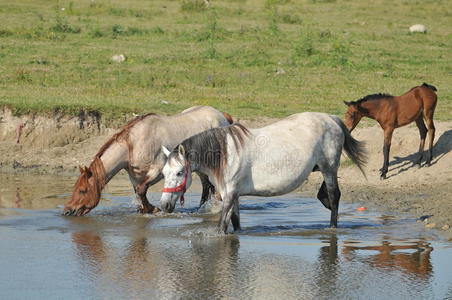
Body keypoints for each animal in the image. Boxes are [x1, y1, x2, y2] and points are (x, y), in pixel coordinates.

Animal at [63, 105, 233, 216]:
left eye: (83, 190)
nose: (68, 210)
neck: (134, 144)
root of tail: (222, 116)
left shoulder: (158, 171)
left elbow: (141, 190)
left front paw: (153, 208)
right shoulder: (135, 177)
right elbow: (139, 193)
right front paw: (147, 209)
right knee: (206, 186)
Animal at [161, 112, 366, 232]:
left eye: (179, 172)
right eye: (164, 173)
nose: (164, 205)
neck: (225, 154)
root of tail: (331, 118)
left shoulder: (229, 194)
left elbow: (221, 227)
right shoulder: (232, 194)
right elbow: (235, 223)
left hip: (328, 167)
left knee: (334, 195)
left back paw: (332, 226)